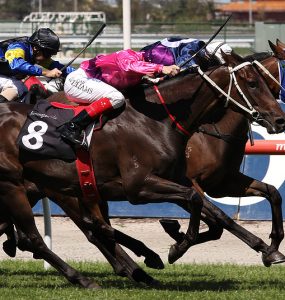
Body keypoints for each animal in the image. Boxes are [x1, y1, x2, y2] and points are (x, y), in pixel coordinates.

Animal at [0, 50, 282, 288]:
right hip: (18, 186)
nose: (279, 119)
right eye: (252, 83)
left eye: (268, 83)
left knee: (88, 229)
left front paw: (271, 249)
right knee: (39, 238)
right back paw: (90, 277)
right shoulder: (139, 186)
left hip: (63, 188)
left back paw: (137, 268)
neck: (158, 121)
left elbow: (265, 195)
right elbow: (201, 205)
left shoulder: (200, 181)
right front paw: (177, 246)